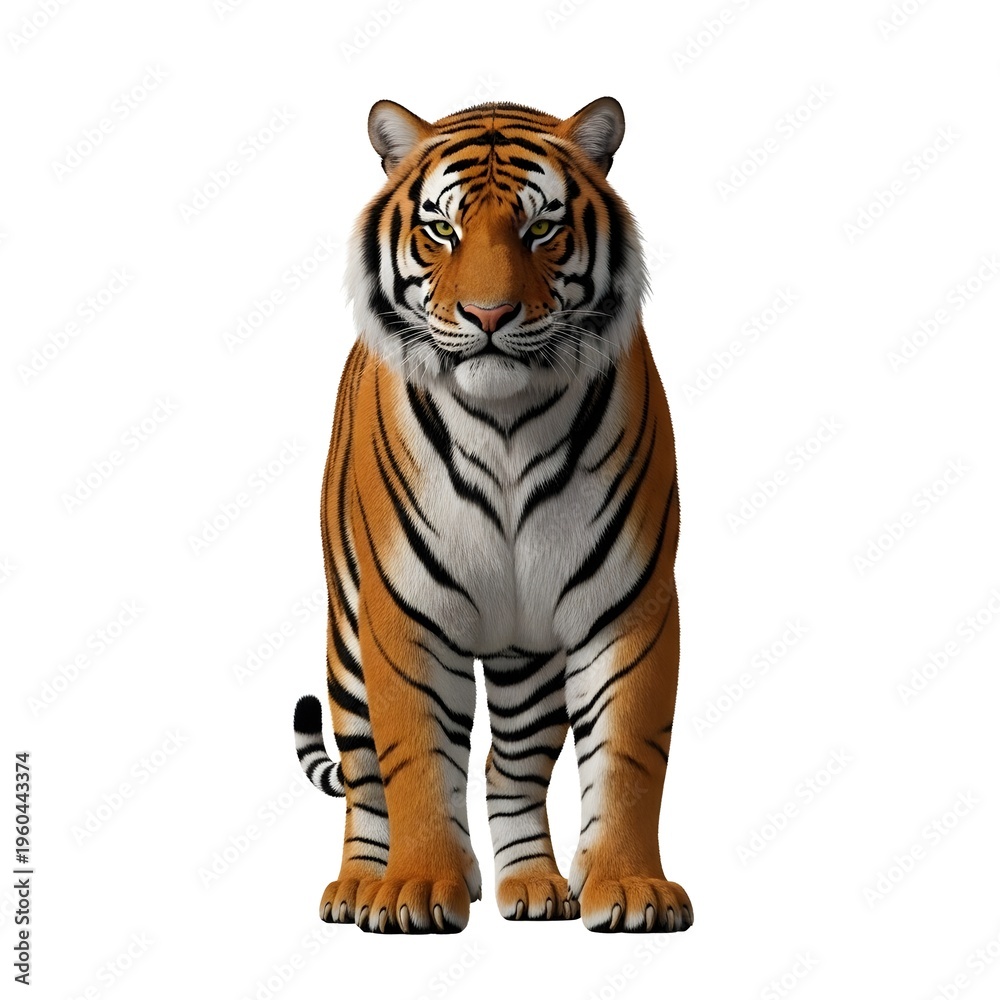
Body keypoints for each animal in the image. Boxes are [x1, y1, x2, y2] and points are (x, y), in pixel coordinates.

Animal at [293, 96, 693, 935]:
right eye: (442, 229)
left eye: (541, 228)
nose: (488, 313)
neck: (508, 423)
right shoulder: (402, 612)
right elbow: (413, 757)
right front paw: (414, 892)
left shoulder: (631, 606)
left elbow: (630, 755)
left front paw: (631, 888)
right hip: (346, 642)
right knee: (362, 772)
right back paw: (357, 886)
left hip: (528, 654)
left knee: (510, 769)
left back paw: (534, 885)